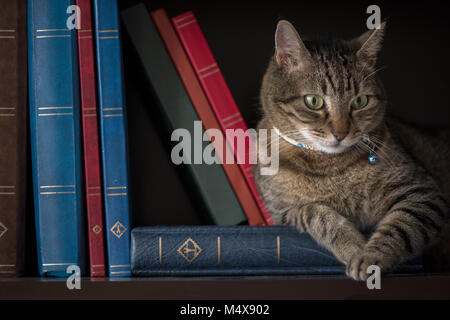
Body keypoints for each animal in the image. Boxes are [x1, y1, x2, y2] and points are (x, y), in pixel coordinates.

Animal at [255, 20, 448, 280]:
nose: (340, 133)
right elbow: (316, 214)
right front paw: (354, 246)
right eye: (313, 101)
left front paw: (370, 257)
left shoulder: (423, 193)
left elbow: (400, 226)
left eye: (360, 101)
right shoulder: (283, 213)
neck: (328, 167)